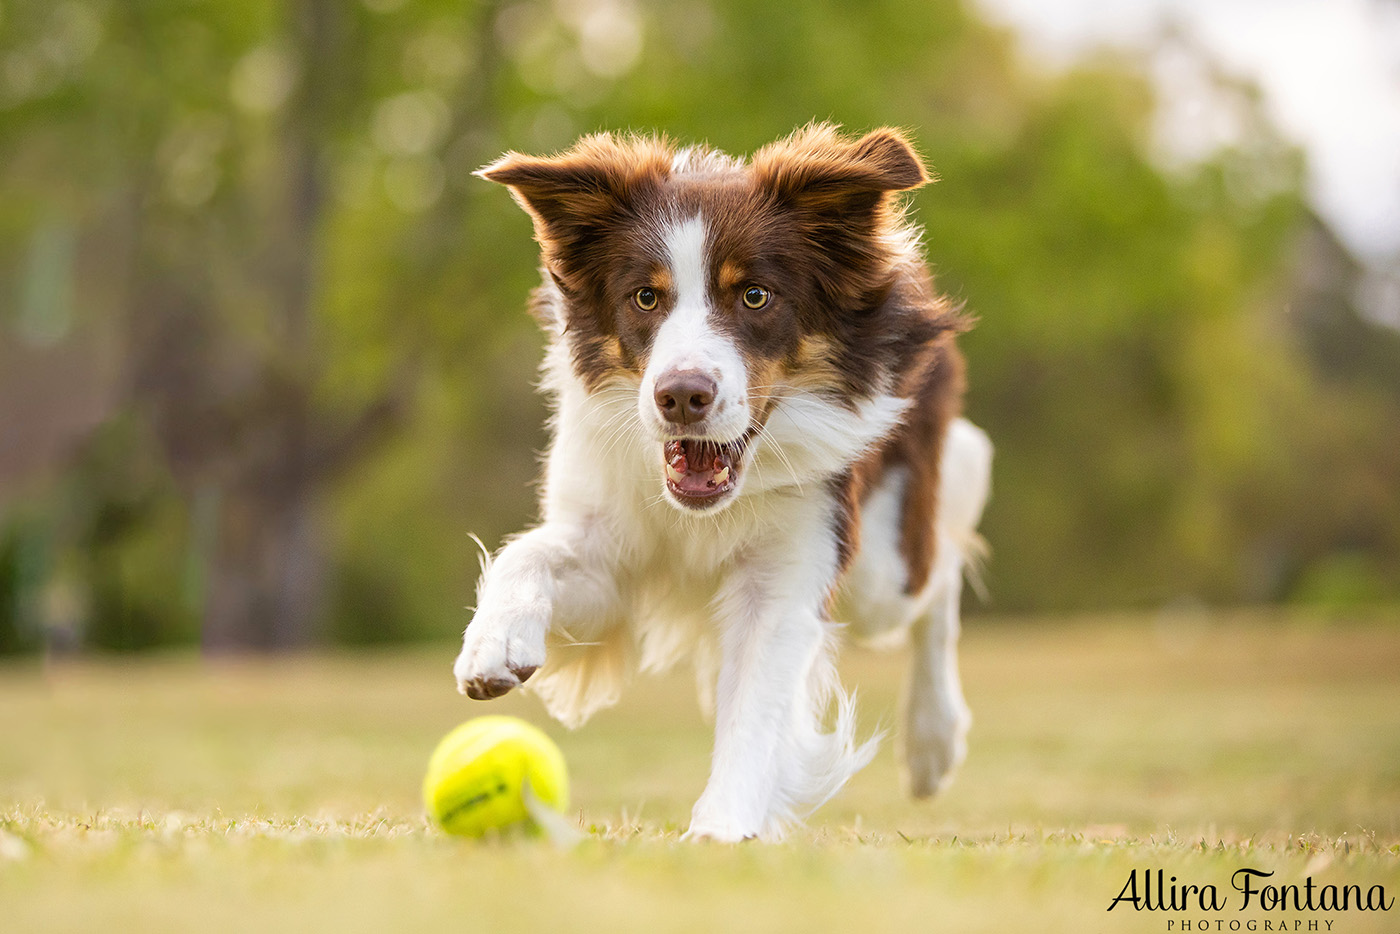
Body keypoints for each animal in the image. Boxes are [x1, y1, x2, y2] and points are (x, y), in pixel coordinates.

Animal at [453, 120, 991, 845]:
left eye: (755, 295)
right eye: (645, 296)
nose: (682, 396)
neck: (702, 508)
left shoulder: (795, 557)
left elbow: (758, 704)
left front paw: (723, 825)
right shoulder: (607, 543)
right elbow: (528, 553)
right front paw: (494, 644)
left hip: (884, 567)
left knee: (941, 562)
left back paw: (933, 742)